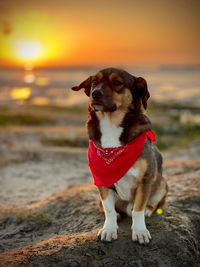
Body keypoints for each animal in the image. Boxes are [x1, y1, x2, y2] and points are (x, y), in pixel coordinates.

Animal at [71, 68, 168, 245]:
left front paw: (140, 231)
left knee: (150, 204)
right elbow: (108, 209)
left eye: (117, 82)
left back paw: (148, 210)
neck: (111, 125)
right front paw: (109, 229)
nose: (95, 93)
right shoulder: (101, 180)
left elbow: (138, 209)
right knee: (105, 207)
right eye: (94, 82)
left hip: (162, 183)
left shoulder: (145, 180)